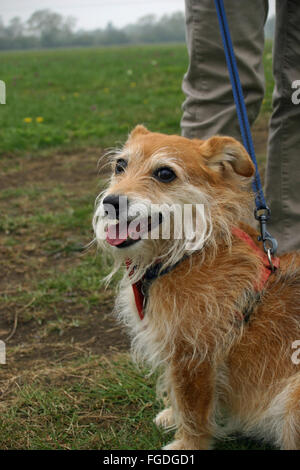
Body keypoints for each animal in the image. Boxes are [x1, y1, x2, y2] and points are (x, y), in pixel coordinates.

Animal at [93, 126, 300, 452]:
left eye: (165, 173)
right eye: (120, 166)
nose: (111, 202)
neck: (190, 250)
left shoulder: (193, 353)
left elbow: (192, 407)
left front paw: (187, 445)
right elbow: (179, 396)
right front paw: (171, 415)